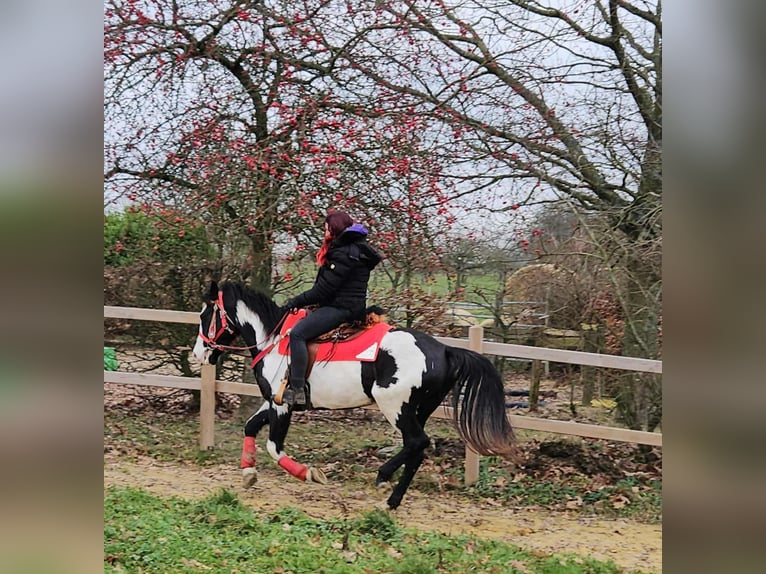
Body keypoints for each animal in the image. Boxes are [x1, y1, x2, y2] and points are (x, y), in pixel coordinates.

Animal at [192, 280, 515, 510]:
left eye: (205, 314)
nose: (198, 354)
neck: (273, 340)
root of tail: (445, 350)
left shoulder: (282, 406)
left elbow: (274, 447)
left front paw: (309, 473)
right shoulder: (273, 401)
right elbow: (250, 427)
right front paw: (248, 473)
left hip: (395, 407)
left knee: (417, 442)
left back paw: (384, 477)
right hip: (419, 409)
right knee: (417, 450)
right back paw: (391, 501)